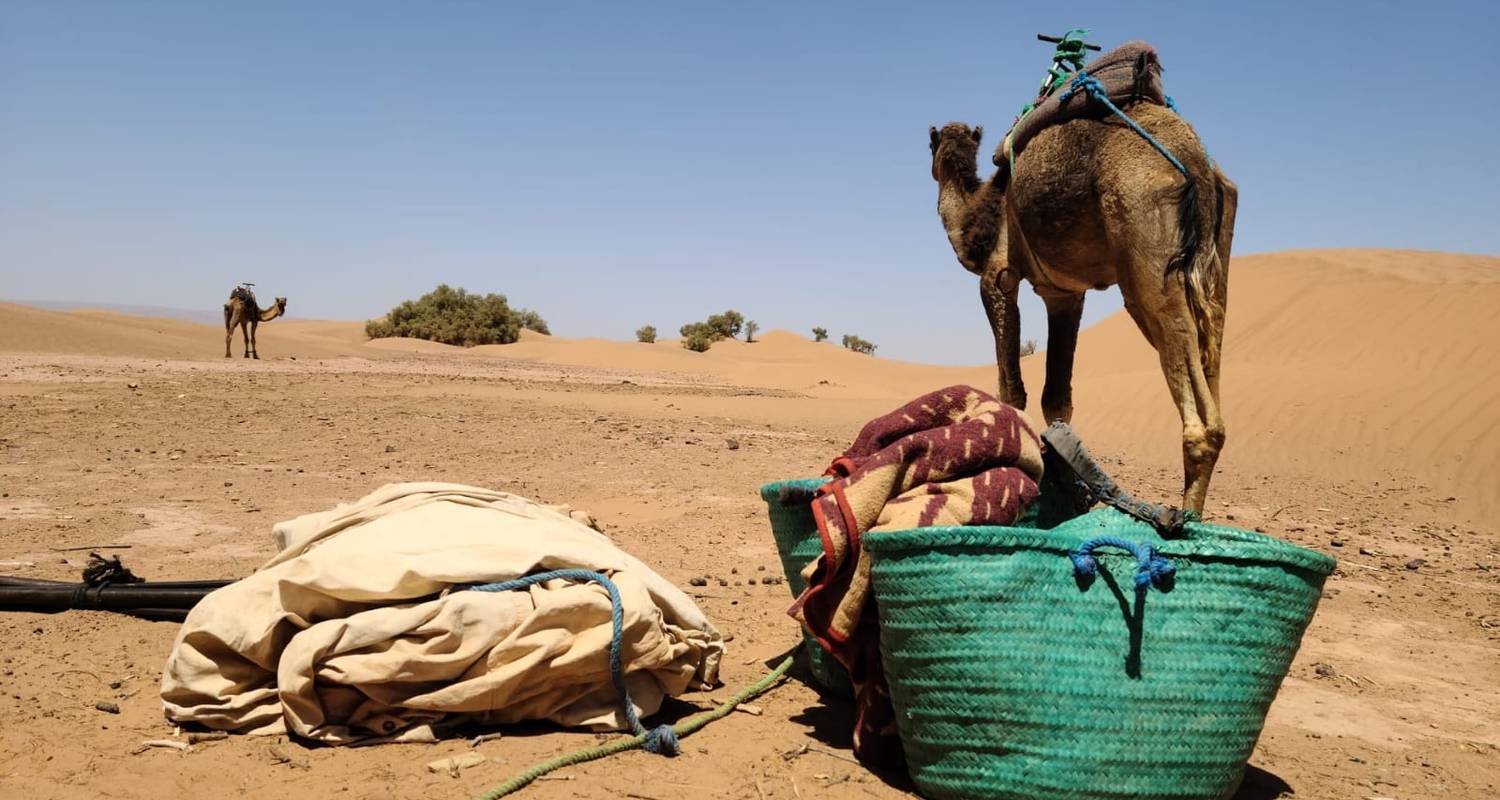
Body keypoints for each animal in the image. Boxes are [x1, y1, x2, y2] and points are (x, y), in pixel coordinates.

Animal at [930, 101, 1236, 510]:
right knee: (1212, 357)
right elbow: (1057, 397)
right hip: (1215, 262)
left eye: (930, 145)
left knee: (1200, 417)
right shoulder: (1064, 293)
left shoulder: (998, 274)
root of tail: (1196, 163)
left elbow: (1012, 390)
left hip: (1144, 244)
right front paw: (1068, 485)